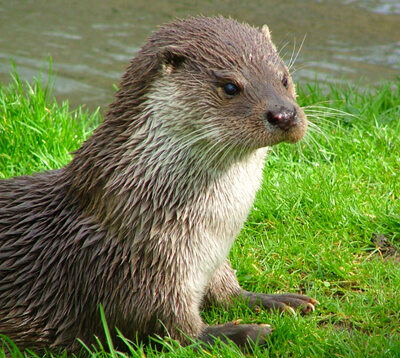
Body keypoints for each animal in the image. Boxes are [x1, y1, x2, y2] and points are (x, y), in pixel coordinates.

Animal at [0, 15, 316, 354]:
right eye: (231, 87)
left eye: (284, 79)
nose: (284, 114)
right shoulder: (134, 273)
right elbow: (171, 333)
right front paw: (248, 333)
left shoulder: (210, 262)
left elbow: (228, 293)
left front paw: (278, 301)